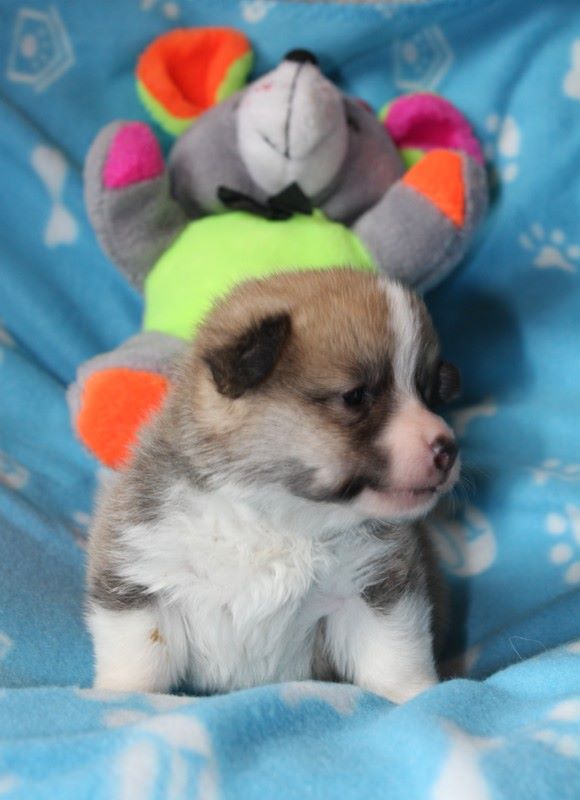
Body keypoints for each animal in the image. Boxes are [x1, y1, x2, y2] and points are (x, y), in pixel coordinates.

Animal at [86, 268, 461, 703]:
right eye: (356, 396)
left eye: (429, 395)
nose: (448, 449)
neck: (276, 517)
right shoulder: (141, 575)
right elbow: (138, 657)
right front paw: (121, 699)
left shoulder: (374, 591)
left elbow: (395, 656)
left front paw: (418, 696)